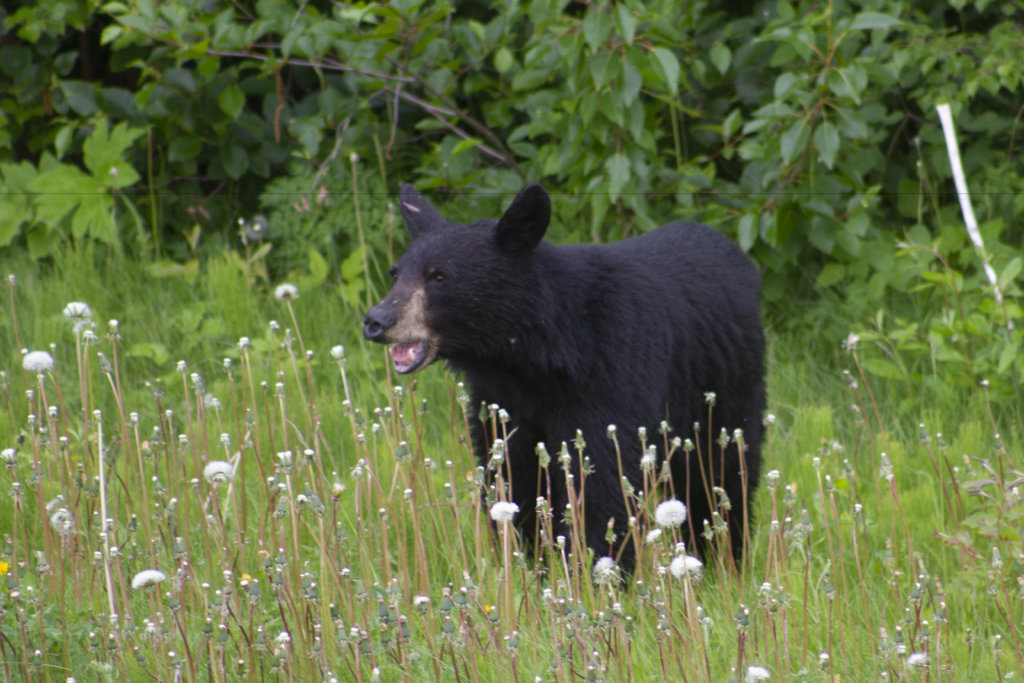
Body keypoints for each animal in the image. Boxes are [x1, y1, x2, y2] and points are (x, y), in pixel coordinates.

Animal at [363, 184, 765, 570]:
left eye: (439, 276)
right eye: (396, 273)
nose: (376, 320)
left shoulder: (611, 378)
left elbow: (603, 481)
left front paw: (600, 571)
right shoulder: (503, 402)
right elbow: (512, 475)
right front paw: (526, 561)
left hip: (724, 385)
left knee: (724, 467)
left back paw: (726, 556)